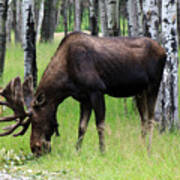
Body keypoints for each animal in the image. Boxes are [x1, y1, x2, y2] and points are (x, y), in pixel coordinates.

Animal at [0, 31, 165, 155]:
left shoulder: (97, 90)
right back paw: (141, 146)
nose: (35, 148)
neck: (66, 83)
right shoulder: (83, 98)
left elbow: (100, 124)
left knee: (151, 119)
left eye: (35, 120)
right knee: (144, 119)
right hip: (139, 92)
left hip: (153, 85)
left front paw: (103, 152)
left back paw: (149, 149)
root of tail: (164, 52)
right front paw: (77, 151)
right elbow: (82, 126)